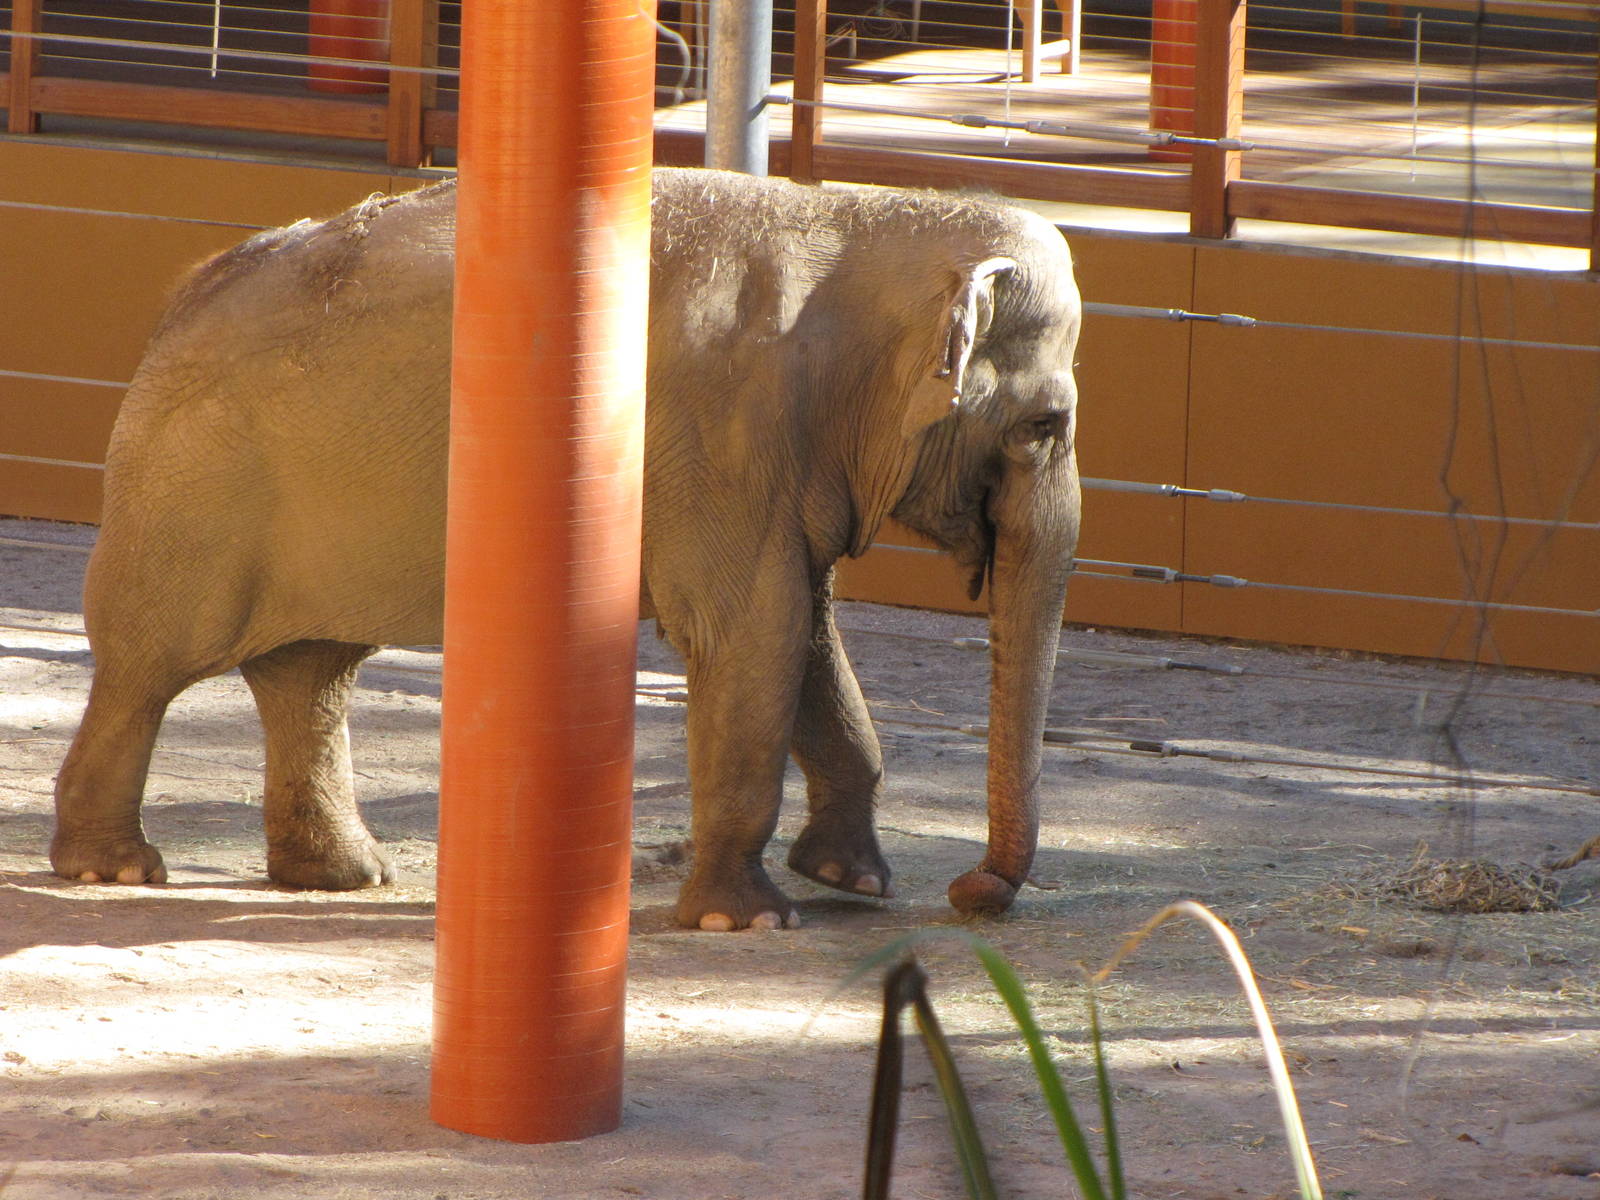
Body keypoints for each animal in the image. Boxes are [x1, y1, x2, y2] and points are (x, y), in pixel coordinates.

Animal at [51, 166, 1083, 931]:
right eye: (1045, 426)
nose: (971, 892)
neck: (871, 219)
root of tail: (182, 297)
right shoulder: (721, 438)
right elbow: (754, 630)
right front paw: (746, 921)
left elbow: (809, 630)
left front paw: (852, 883)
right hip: (188, 491)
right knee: (151, 666)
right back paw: (115, 871)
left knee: (310, 671)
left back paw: (347, 878)